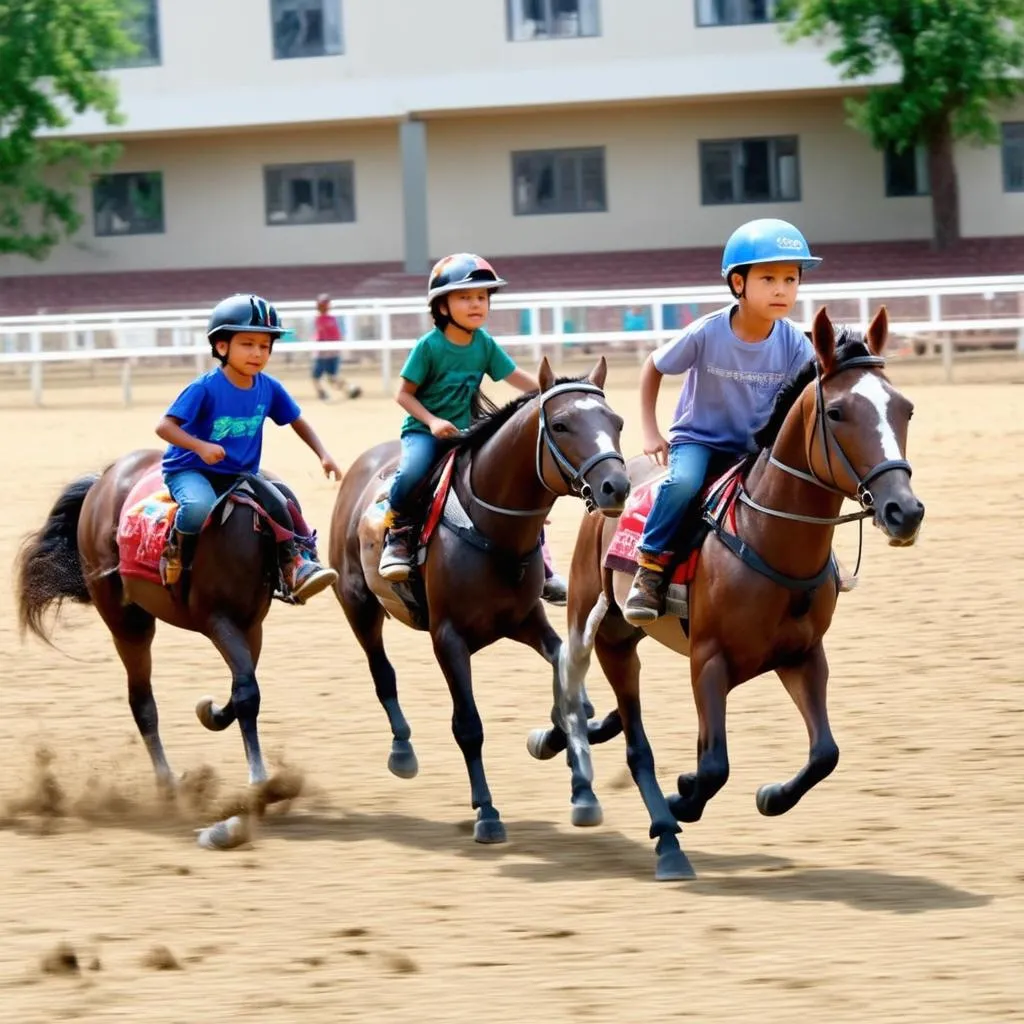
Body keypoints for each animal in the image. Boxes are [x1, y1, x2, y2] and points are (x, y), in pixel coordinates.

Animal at [16, 452, 309, 802]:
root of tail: (102, 480)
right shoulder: (218, 620)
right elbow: (247, 693)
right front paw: (259, 780)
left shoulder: (252, 626)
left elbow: (240, 685)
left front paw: (211, 713)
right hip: (128, 624)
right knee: (142, 702)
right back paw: (166, 781)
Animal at [331, 356, 626, 843]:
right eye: (561, 425)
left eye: (616, 422)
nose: (616, 486)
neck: (492, 531)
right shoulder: (448, 638)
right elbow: (468, 726)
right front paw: (487, 812)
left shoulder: (527, 620)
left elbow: (571, 697)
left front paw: (580, 784)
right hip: (358, 604)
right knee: (382, 672)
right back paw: (402, 749)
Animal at [528, 307, 929, 876]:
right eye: (836, 412)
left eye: (905, 409)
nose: (904, 510)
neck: (768, 538)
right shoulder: (709, 660)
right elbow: (715, 764)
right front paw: (682, 796)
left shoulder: (804, 655)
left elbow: (825, 754)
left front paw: (771, 795)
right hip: (599, 627)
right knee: (590, 690)